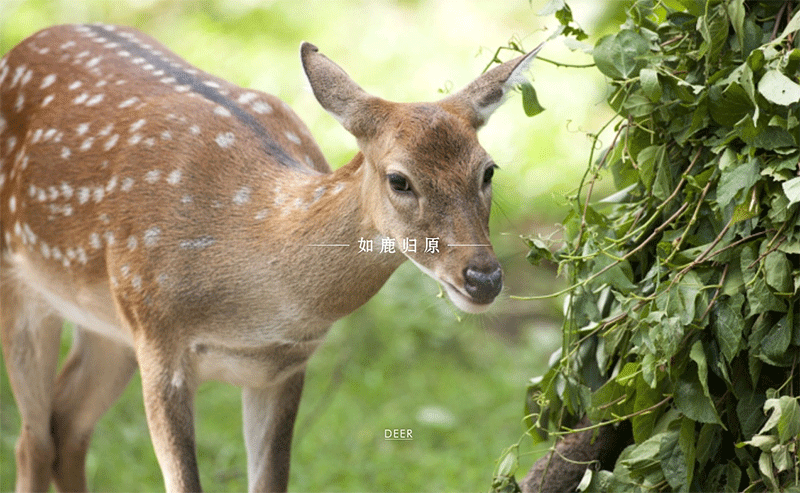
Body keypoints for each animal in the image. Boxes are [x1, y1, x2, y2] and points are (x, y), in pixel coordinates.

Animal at [0, 24, 544, 492]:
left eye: (488, 170)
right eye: (399, 179)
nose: (483, 278)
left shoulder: (283, 364)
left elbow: (269, 481)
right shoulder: (159, 339)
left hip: (108, 322)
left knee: (67, 425)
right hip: (31, 288)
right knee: (33, 441)